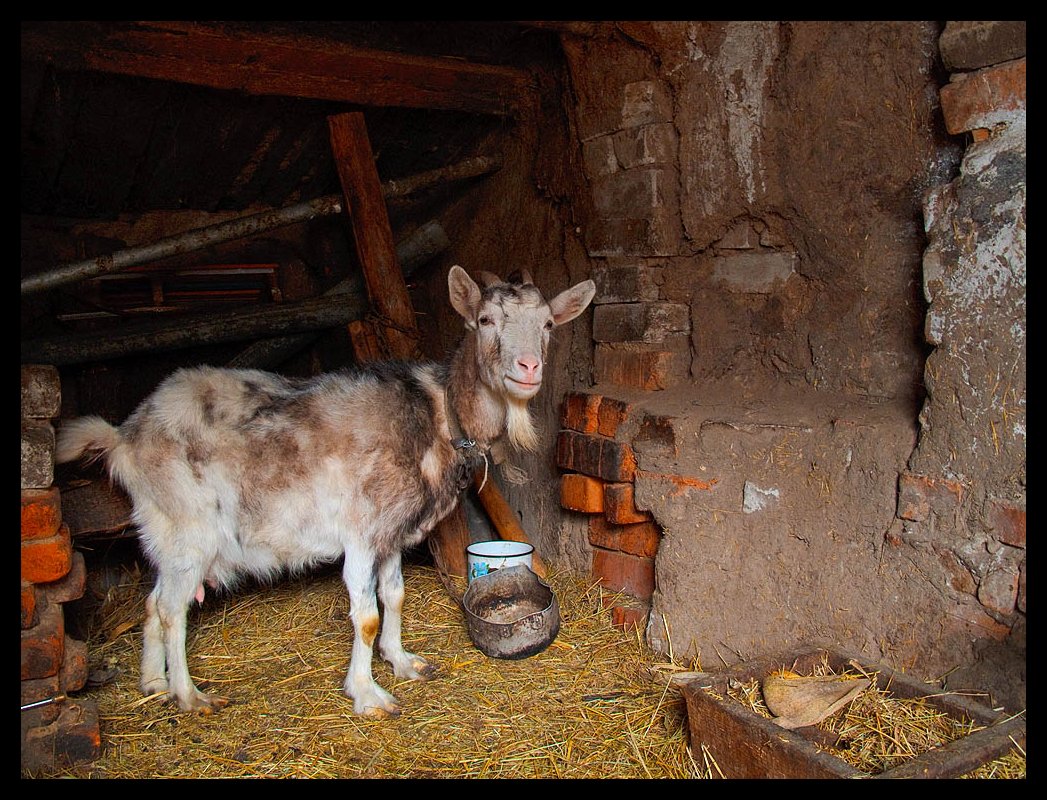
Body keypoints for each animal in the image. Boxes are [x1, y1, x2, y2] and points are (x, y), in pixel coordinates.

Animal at [55, 267, 598, 720]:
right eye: (485, 320)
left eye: (548, 324)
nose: (528, 368)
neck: (437, 413)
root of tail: (125, 436)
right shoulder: (361, 532)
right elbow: (367, 616)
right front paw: (369, 695)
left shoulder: (391, 533)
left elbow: (395, 596)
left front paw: (405, 663)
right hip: (188, 526)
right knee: (171, 610)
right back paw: (189, 696)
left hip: (163, 531)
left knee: (152, 603)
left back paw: (153, 683)